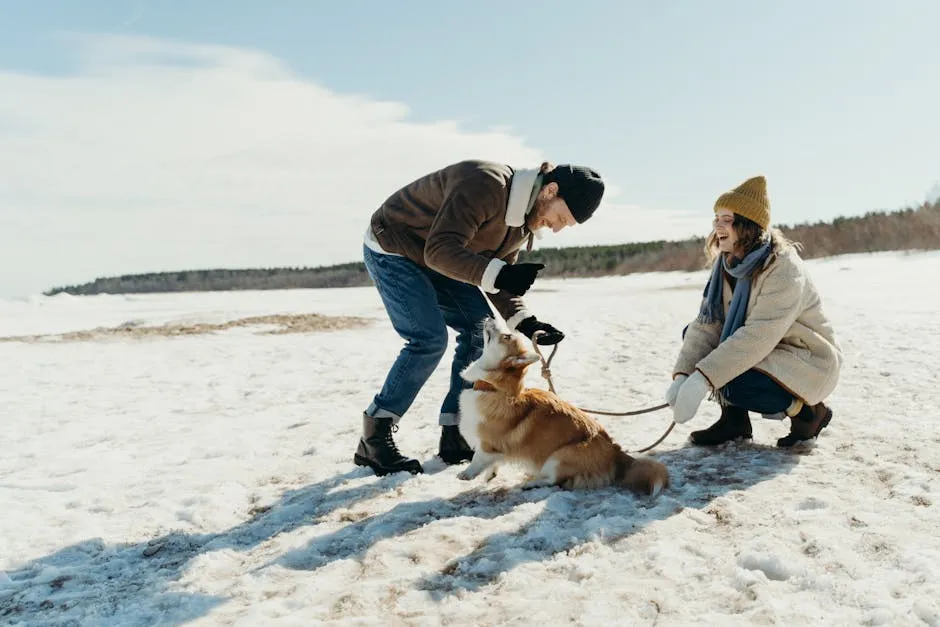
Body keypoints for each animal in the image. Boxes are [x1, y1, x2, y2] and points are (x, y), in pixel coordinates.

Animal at [456, 318, 668, 496]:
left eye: (506, 336)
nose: (490, 317)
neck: (493, 388)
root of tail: (617, 453)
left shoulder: (487, 444)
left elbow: (477, 459)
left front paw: (466, 474)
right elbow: (493, 464)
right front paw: (489, 475)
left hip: (559, 456)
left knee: (553, 481)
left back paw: (531, 483)